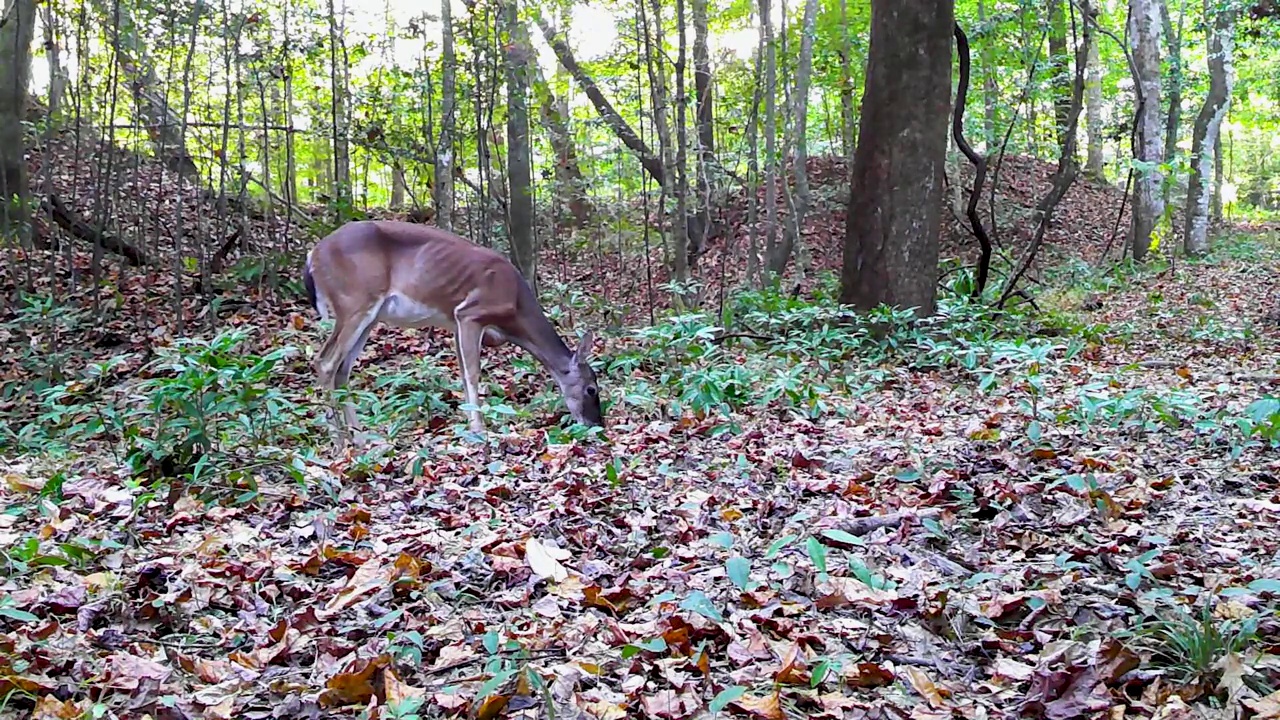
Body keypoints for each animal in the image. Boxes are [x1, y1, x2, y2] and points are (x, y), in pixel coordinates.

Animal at [300, 219, 604, 448]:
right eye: (591, 389)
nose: (597, 425)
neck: (515, 307)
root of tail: (313, 254)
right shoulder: (470, 313)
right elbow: (472, 373)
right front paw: (480, 430)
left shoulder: (457, 323)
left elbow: (461, 373)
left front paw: (470, 427)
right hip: (355, 301)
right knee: (325, 362)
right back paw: (339, 443)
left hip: (369, 315)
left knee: (342, 369)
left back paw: (362, 439)